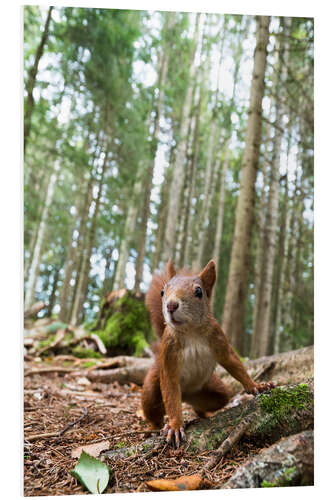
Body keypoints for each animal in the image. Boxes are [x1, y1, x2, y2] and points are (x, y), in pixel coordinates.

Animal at [141, 260, 274, 448]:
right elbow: (170, 389)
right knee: (155, 408)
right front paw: (175, 425)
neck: (191, 332)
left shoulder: (218, 337)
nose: (171, 305)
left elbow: (233, 363)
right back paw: (154, 427)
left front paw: (256, 386)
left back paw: (205, 415)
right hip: (152, 388)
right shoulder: (168, 353)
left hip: (214, 390)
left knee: (209, 404)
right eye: (162, 292)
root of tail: (186, 395)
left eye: (199, 292)